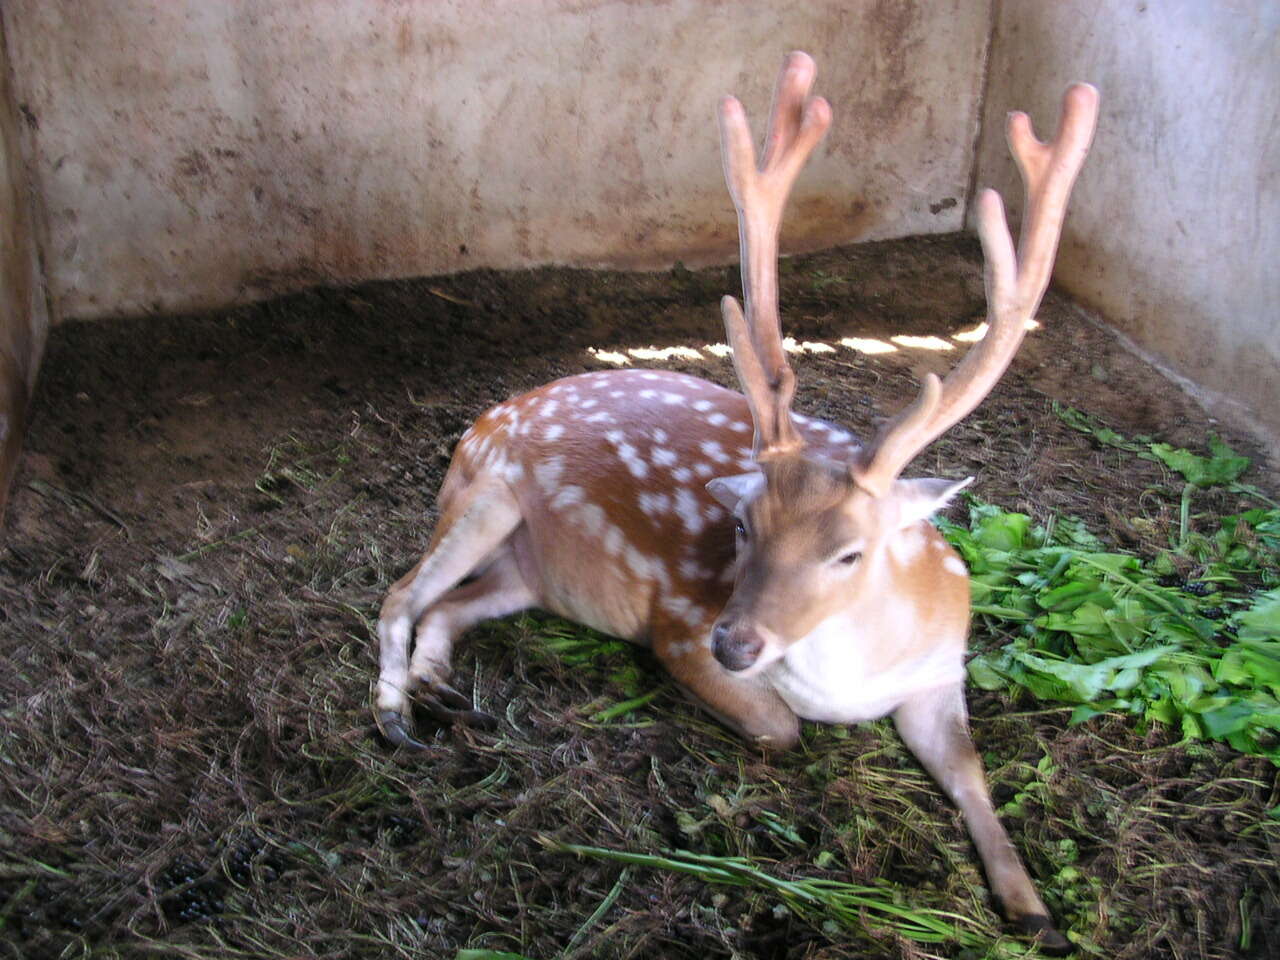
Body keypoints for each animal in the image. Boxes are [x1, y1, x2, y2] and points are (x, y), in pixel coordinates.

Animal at [376, 54, 1100, 957]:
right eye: (743, 528)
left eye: (850, 551)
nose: (736, 641)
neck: (851, 676)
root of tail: (483, 421)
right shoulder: (680, 625)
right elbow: (780, 729)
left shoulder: (942, 671)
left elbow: (971, 770)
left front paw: (1033, 909)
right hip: (487, 494)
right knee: (399, 594)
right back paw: (395, 714)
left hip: (527, 574)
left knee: (447, 606)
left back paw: (439, 691)